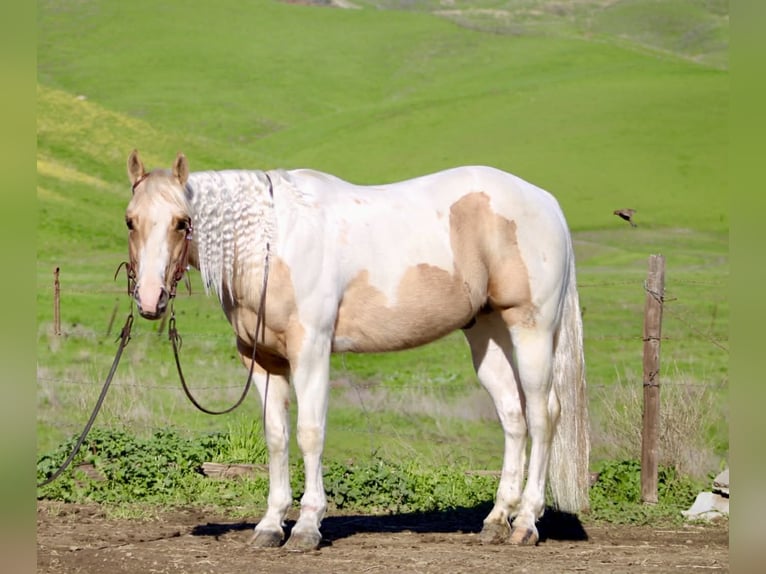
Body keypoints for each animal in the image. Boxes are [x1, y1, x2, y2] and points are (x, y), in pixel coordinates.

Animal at [123, 150, 589, 551]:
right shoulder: (262, 360)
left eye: (182, 222)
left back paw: (526, 523)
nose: (149, 299)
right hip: (487, 334)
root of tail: (545, 200)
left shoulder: (311, 350)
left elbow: (310, 433)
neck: (274, 242)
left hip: (530, 329)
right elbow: (276, 437)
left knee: (542, 415)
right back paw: (496, 520)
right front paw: (270, 525)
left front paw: (307, 527)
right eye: (131, 221)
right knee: (513, 417)